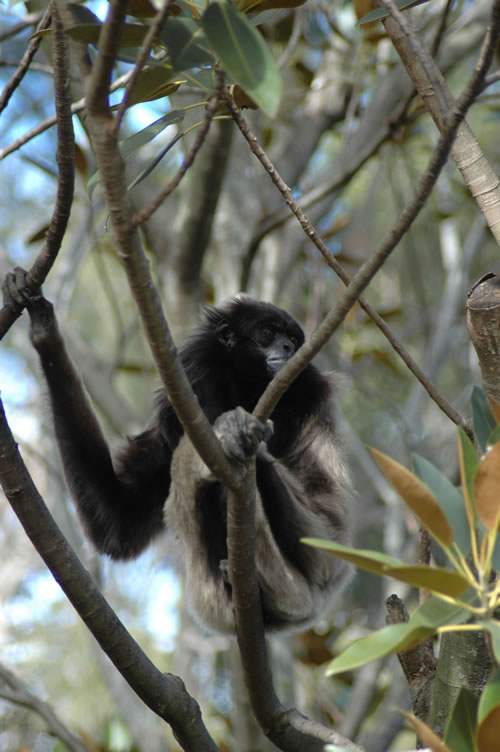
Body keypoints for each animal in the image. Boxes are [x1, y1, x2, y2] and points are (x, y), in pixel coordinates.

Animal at [4, 270, 356, 636]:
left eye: (293, 339)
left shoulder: (311, 399)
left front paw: (244, 437)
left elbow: (329, 538)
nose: (287, 348)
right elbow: (117, 525)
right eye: (268, 333)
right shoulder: (178, 411)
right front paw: (45, 334)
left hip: (296, 591)